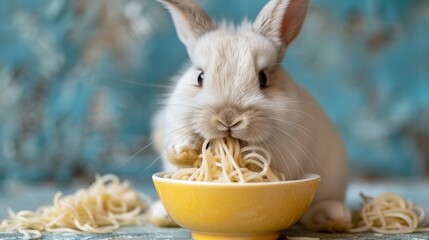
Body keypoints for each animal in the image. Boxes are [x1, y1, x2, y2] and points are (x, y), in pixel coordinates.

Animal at [150, 0, 352, 231]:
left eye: (263, 78)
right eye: (200, 77)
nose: (228, 118)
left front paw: (250, 158)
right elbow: (179, 150)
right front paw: (183, 149)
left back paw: (332, 217)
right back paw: (160, 214)